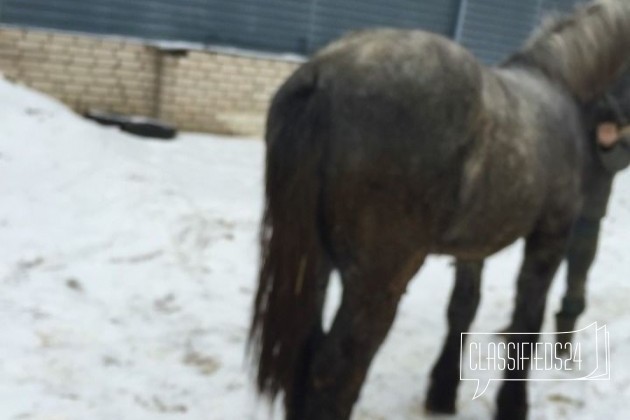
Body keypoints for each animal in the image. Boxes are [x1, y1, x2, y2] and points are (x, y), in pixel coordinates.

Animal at [249, 1, 630, 418]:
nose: (615, 133)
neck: (560, 84)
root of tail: (325, 75)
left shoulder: (475, 245)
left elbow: (462, 308)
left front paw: (443, 392)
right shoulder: (551, 234)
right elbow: (526, 320)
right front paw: (512, 405)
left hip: (314, 263)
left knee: (304, 353)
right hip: (379, 277)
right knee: (336, 367)